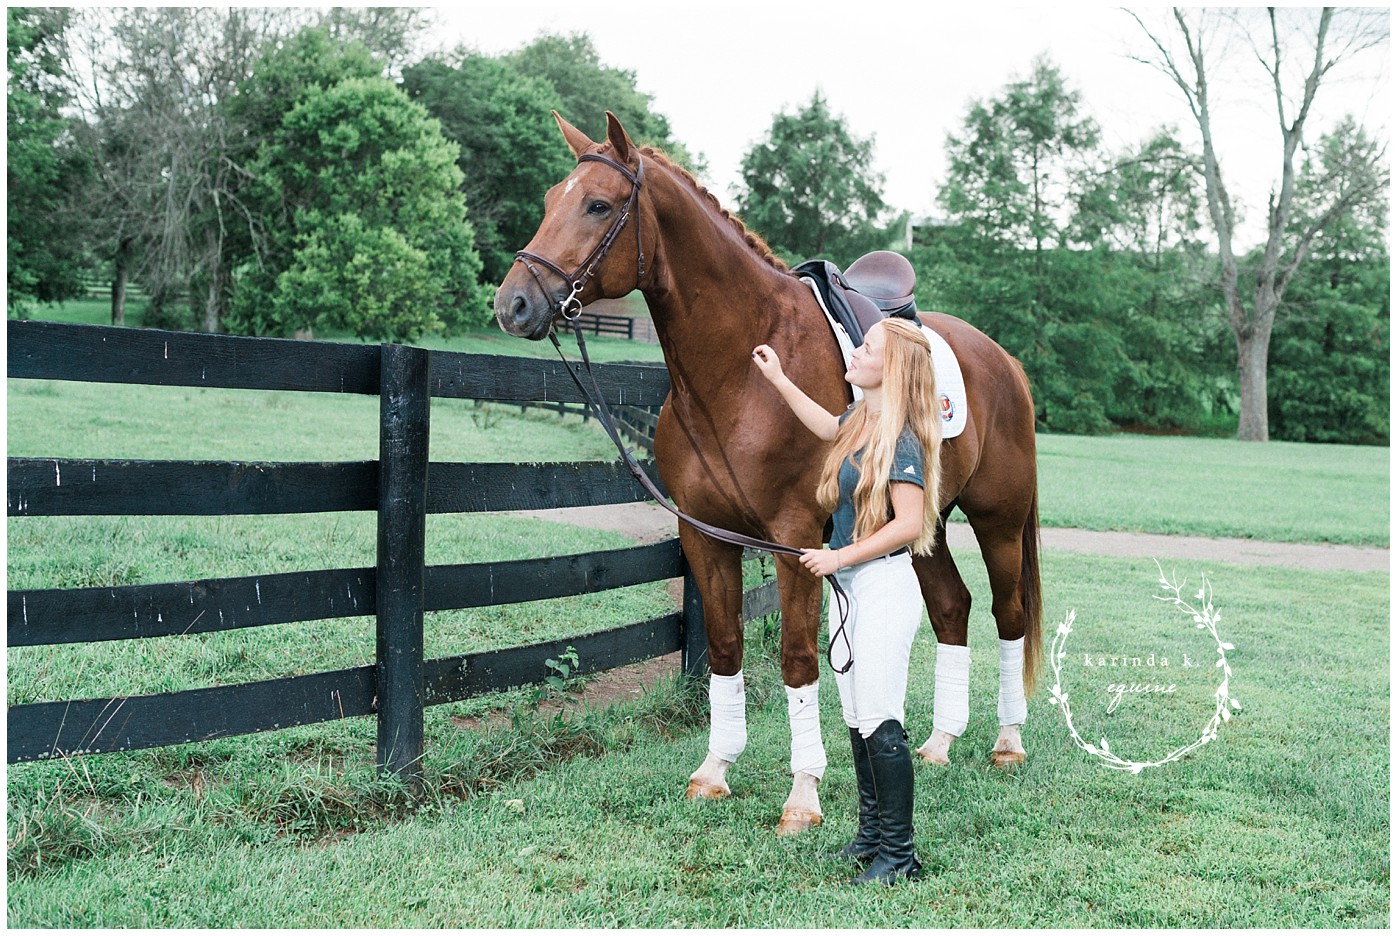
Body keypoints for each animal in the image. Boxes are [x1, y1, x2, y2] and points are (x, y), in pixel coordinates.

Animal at [494, 112, 1042, 835]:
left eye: (598, 205)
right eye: (550, 199)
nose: (514, 304)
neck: (738, 374)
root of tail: (1002, 360)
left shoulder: (796, 539)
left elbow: (798, 659)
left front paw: (803, 795)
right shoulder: (706, 536)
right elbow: (725, 649)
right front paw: (714, 771)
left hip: (997, 519)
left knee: (1009, 614)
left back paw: (1007, 741)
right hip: (919, 523)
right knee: (953, 609)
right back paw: (938, 743)